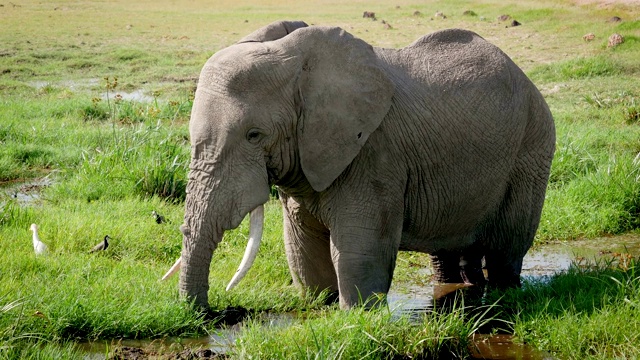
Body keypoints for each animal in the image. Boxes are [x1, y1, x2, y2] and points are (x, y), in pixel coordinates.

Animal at [175, 19, 556, 310]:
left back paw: (503, 295)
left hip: (532, 146)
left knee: (507, 246)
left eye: (254, 135)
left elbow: (359, 251)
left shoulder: (375, 154)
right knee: (448, 249)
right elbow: (301, 248)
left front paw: (357, 316)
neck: (300, 63)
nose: (210, 312)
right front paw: (321, 305)